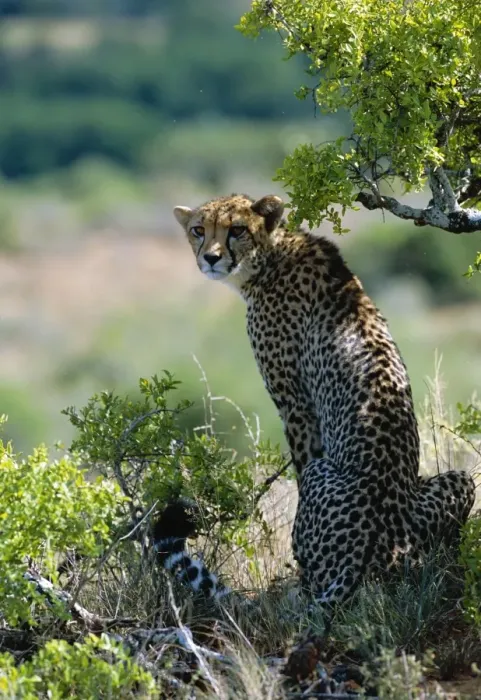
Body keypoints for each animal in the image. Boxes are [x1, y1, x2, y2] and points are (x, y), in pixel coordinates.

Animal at [173, 193, 476, 605]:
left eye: (236, 229)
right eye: (198, 230)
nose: (211, 258)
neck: (270, 256)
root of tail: (384, 548)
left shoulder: (296, 406)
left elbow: (300, 469)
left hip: (325, 475)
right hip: (459, 481)